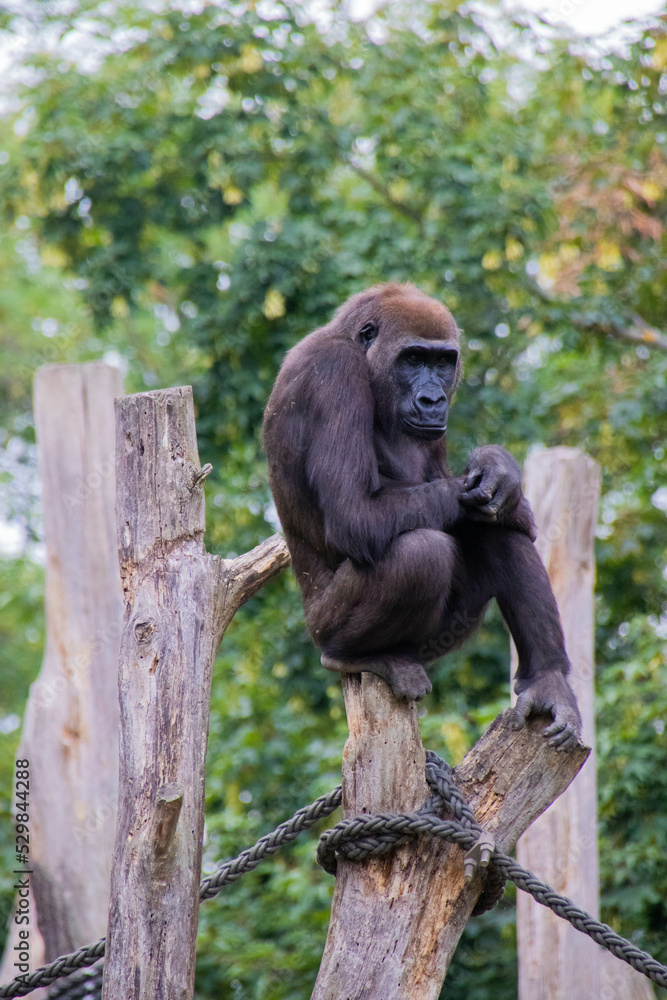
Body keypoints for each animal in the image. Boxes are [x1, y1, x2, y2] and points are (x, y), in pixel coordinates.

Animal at [263, 282, 581, 750]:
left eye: (442, 361)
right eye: (412, 358)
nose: (433, 399)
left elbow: (462, 492)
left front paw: (499, 469)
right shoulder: (334, 372)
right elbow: (355, 514)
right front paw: (513, 488)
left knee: (492, 527)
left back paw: (547, 679)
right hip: (322, 626)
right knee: (422, 551)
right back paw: (356, 656)